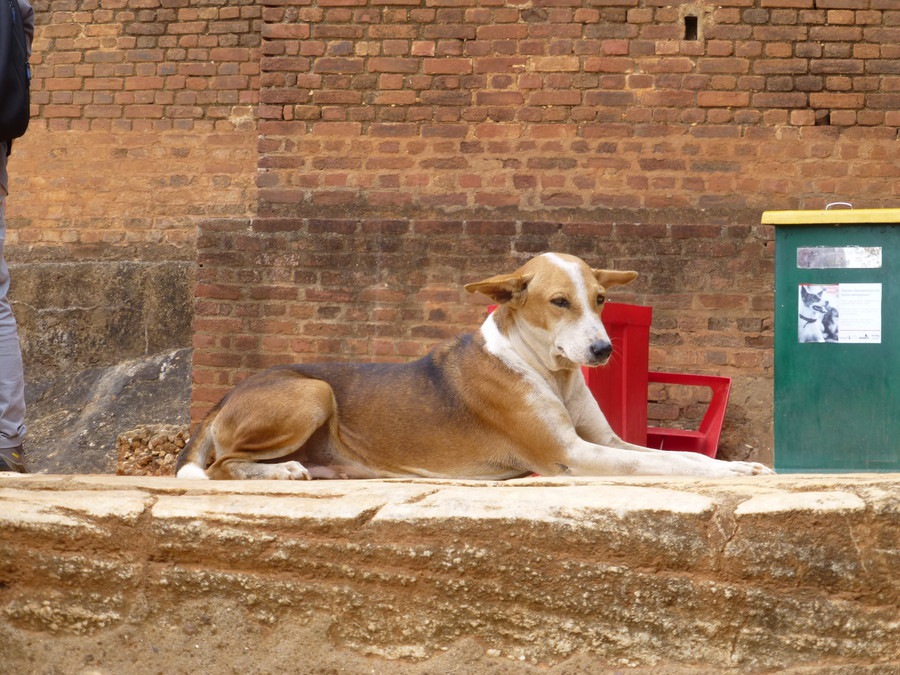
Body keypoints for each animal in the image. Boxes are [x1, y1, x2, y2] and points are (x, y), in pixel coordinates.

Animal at [176, 254, 772, 480]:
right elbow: (666, 465)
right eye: (560, 302)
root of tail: (224, 397)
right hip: (314, 393)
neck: (546, 368)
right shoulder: (570, 454)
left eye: (602, 299)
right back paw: (279, 472)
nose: (603, 351)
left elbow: (670, 456)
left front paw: (739, 466)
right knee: (219, 465)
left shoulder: (608, 440)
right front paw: (733, 472)